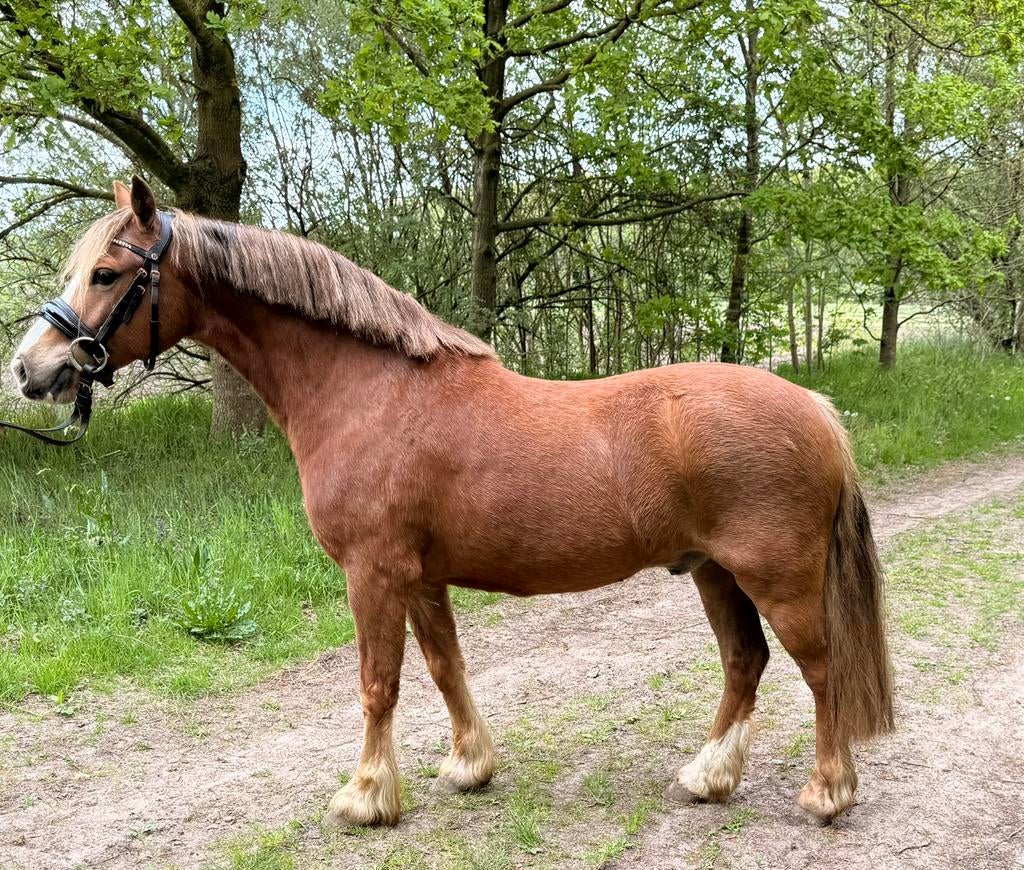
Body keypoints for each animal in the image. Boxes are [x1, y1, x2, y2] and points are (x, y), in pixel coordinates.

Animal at [9, 176, 893, 828]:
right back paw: (708, 777)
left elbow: (379, 683)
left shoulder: (372, 572)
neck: (368, 392)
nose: (31, 369)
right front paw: (470, 765)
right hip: (713, 572)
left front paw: (367, 797)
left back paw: (827, 792)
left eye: (107, 273)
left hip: (776, 578)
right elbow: (443, 666)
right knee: (746, 663)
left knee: (819, 668)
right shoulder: (420, 576)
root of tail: (815, 408)